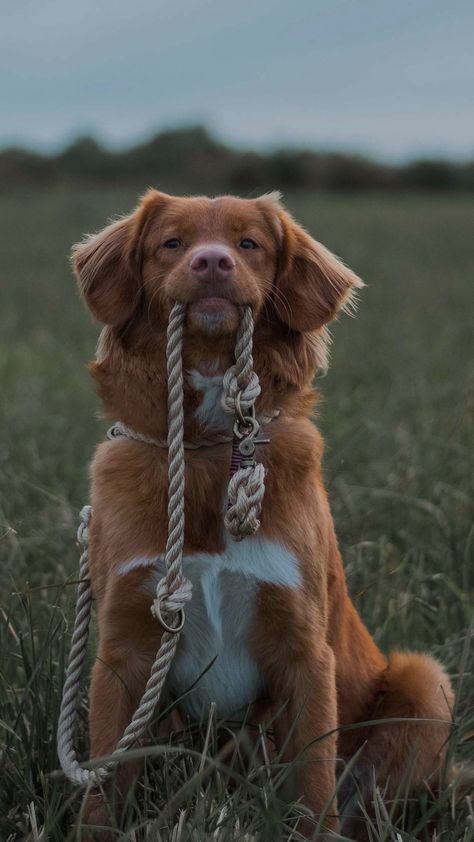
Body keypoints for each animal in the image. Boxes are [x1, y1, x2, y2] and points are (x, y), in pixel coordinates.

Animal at [72, 192, 454, 832]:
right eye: (171, 243)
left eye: (249, 243)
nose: (212, 262)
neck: (207, 451)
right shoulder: (124, 648)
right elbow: (105, 779)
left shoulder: (304, 648)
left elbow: (316, 784)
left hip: (428, 685)